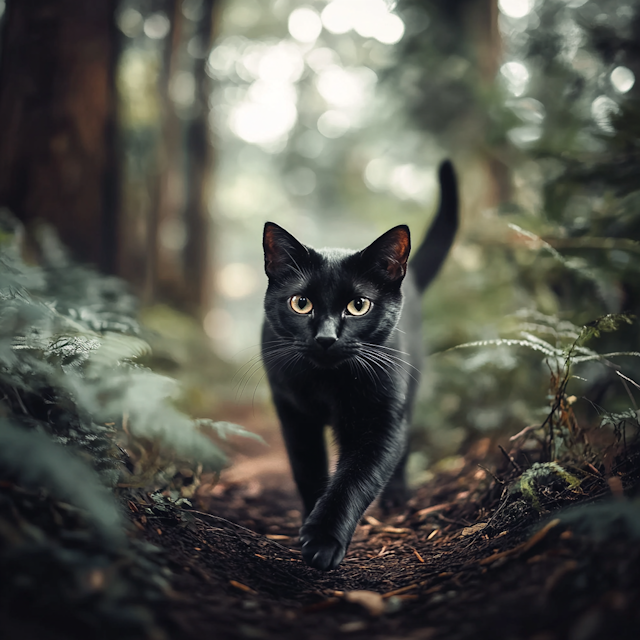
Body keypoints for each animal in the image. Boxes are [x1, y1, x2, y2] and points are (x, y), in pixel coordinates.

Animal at [260, 160, 460, 568]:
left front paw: (323, 540)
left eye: (358, 306)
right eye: (301, 303)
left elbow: (356, 478)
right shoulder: (294, 415)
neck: (327, 386)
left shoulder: (380, 419)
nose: (326, 338)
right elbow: (308, 470)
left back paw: (397, 497)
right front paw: (309, 521)